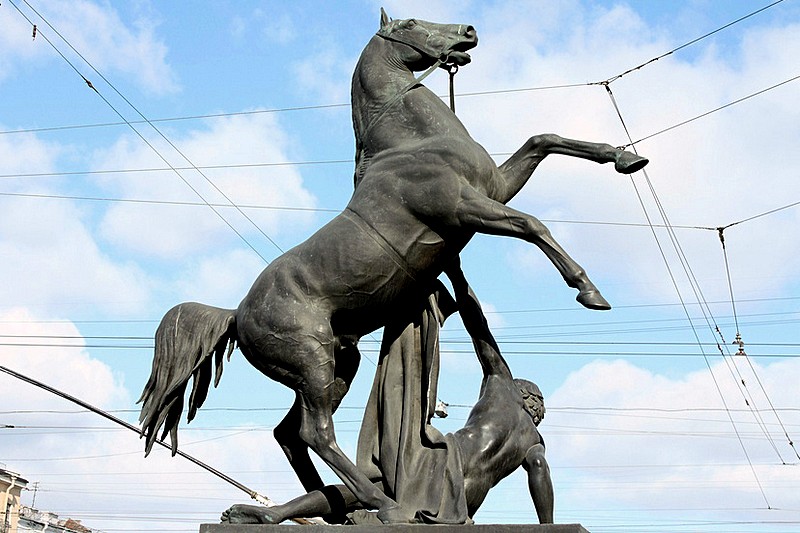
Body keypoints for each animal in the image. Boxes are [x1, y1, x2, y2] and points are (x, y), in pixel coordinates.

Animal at [141, 11, 648, 524]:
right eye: (409, 22)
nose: (468, 32)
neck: (415, 142)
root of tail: (237, 313)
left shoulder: (495, 188)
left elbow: (543, 140)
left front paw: (626, 157)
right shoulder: (464, 207)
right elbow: (531, 224)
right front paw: (589, 291)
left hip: (338, 364)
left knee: (290, 434)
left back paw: (326, 509)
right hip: (312, 363)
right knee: (315, 432)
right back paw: (384, 504)